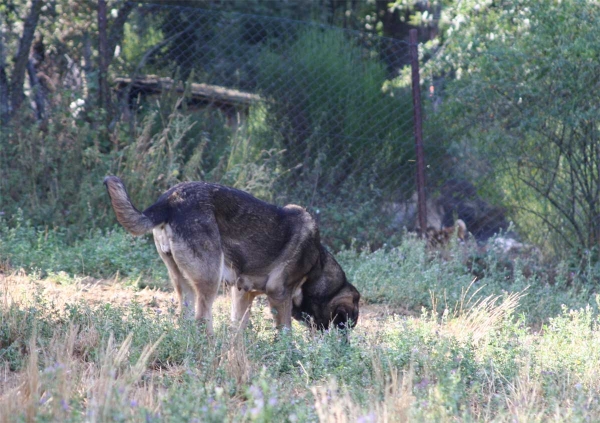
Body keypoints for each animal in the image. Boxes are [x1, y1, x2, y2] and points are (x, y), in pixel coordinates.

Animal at [102, 176, 358, 334]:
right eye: (344, 326)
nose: (343, 351)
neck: (316, 265)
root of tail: (169, 199)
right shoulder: (279, 294)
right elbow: (285, 332)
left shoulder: (242, 293)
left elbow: (238, 327)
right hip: (210, 280)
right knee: (202, 320)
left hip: (184, 284)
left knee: (186, 319)